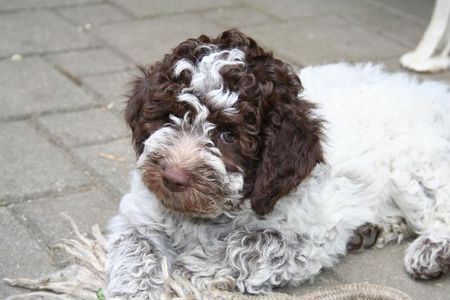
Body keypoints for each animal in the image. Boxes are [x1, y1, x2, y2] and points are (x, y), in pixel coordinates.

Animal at [106, 29, 450, 298]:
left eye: (229, 135)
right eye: (169, 117)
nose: (172, 177)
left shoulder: (307, 238)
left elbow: (245, 246)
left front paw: (185, 269)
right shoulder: (138, 215)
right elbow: (134, 248)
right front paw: (133, 289)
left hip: (416, 163)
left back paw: (432, 250)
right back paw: (372, 229)